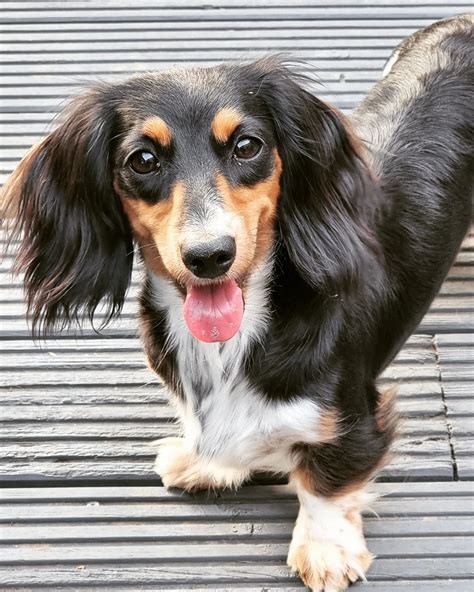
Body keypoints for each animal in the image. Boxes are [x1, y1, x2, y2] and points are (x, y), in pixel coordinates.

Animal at [3, 13, 474, 592]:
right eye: (143, 159)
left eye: (247, 146)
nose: (210, 256)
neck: (233, 341)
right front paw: (207, 464)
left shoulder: (352, 418)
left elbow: (327, 482)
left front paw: (326, 549)